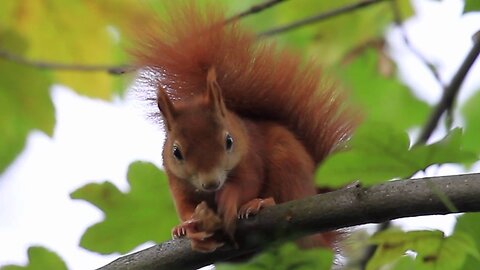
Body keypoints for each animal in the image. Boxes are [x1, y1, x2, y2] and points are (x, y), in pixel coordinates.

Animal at [132, 2, 356, 252]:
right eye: (176, 152)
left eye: (229, 141)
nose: (211, 183)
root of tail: (323, 240)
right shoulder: (176, 181)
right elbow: (185, 206)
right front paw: (187, 227)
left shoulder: (251, 158)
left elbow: (247, 184)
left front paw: (230, 200)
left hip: (288, 167)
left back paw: (262, 203)